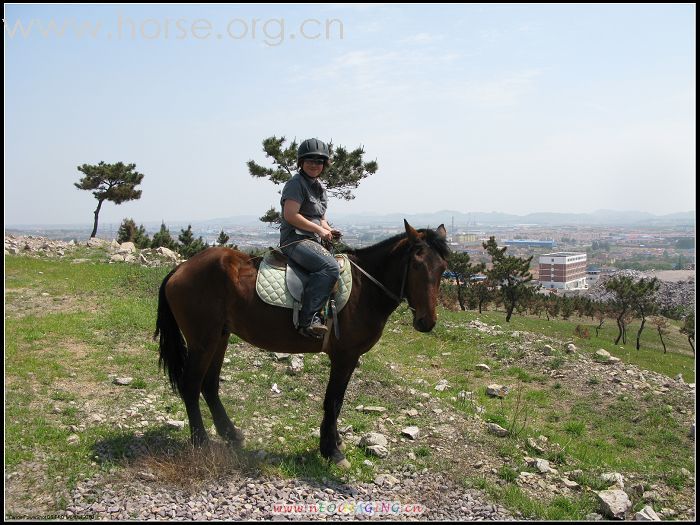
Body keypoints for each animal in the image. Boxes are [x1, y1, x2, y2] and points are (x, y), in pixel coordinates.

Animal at [154, 220, 448, 466]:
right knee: (191, 385)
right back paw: (201, 441)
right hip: (202, 340)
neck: (365, 288)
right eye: (417, 265)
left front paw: (334, 441)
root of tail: (180, 268)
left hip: (220, 336)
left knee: (209, 385)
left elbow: (337, 401)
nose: (427, 321)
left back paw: (232, 434)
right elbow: (333, 401)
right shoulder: (345, 356)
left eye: (443, 268)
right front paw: (331, 451)